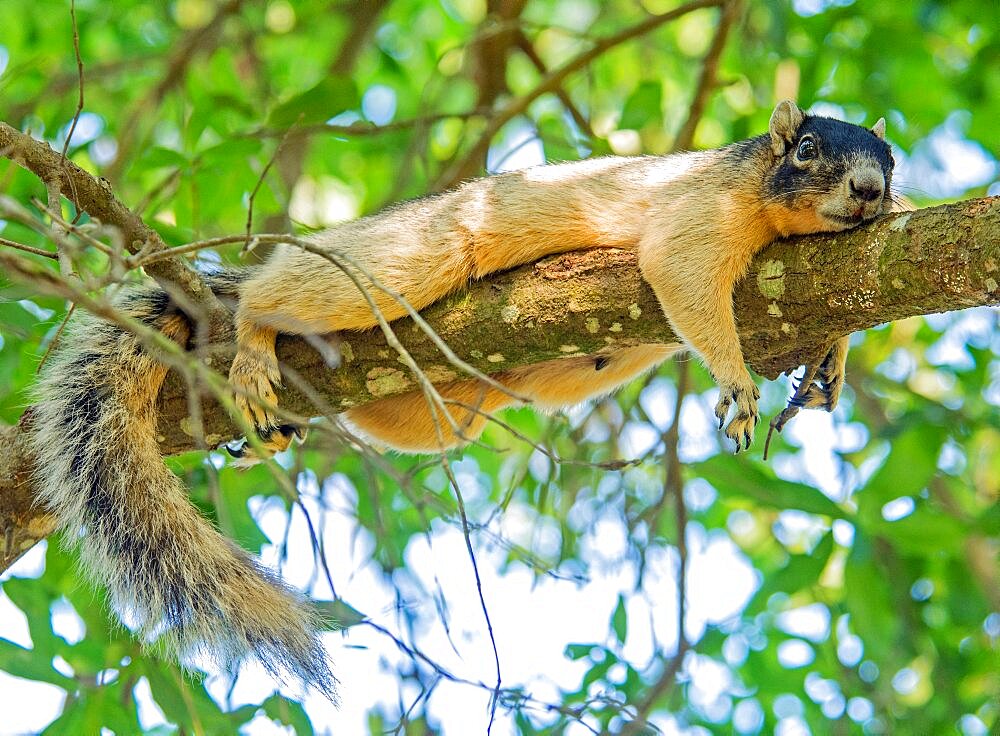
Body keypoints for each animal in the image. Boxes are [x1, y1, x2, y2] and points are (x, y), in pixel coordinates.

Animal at [29, 100, 892, 700]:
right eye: (808, 149)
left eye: (890, 159)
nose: (870, 190)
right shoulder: (698, 214)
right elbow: (680, 271)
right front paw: (738, 385)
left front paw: (830, 360)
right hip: (401, 261)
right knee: (284, 291)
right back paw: (252, 343)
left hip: (450, 403)